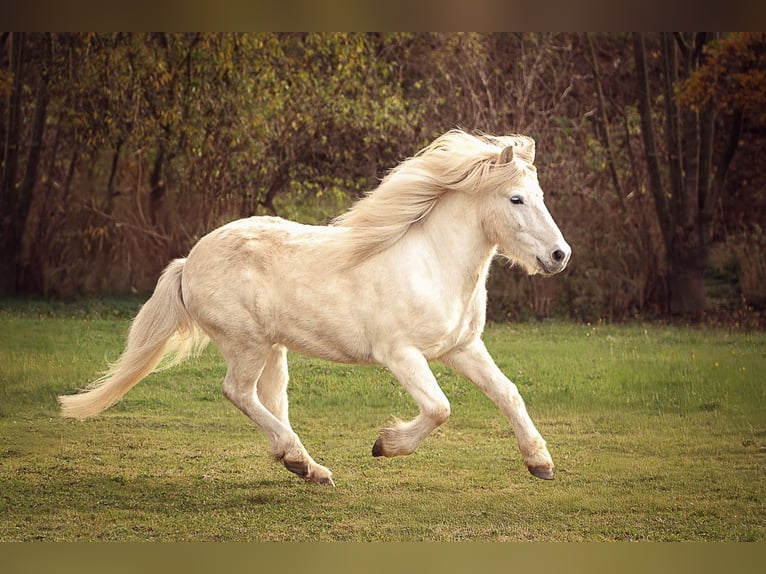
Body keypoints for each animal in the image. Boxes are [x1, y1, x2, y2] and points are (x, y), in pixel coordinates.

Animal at [59, 129, 571, 486]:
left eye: (541, 196)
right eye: (516, 198)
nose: (559, 256)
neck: (433, 264)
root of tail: (188, 263)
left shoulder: (461, 348)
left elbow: (508, 393)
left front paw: (540, 463)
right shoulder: (401, 355)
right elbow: (439, 408)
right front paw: (384, 445)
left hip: (273, 350)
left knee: (269, 402)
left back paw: (305, 466)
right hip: (246, 344)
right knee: (237, 393)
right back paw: (304, 462)